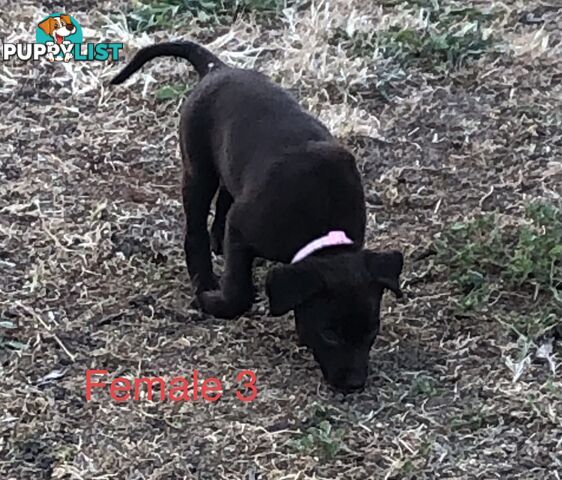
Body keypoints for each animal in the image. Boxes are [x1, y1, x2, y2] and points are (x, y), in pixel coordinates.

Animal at [111, 41, 400, 392]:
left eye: (372, 330)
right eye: (330, 333)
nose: (355, 384)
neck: (322, 230)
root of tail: (217, 68)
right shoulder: (242, 230)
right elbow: (240, 292)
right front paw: (215, 301)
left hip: (228, 167)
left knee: (225, 197)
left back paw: (215, 242)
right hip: (198, 169)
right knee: (195, 228)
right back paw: (204, 278)